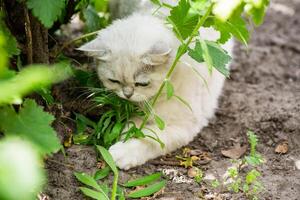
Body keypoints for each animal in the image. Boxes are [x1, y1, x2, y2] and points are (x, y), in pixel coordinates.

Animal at [78, 7, 234, 170]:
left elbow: (150, 138)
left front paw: (123, 152)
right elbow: (135, 125)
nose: (127, 94)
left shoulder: (185, 125)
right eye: (114, 81)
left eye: (142, 83)